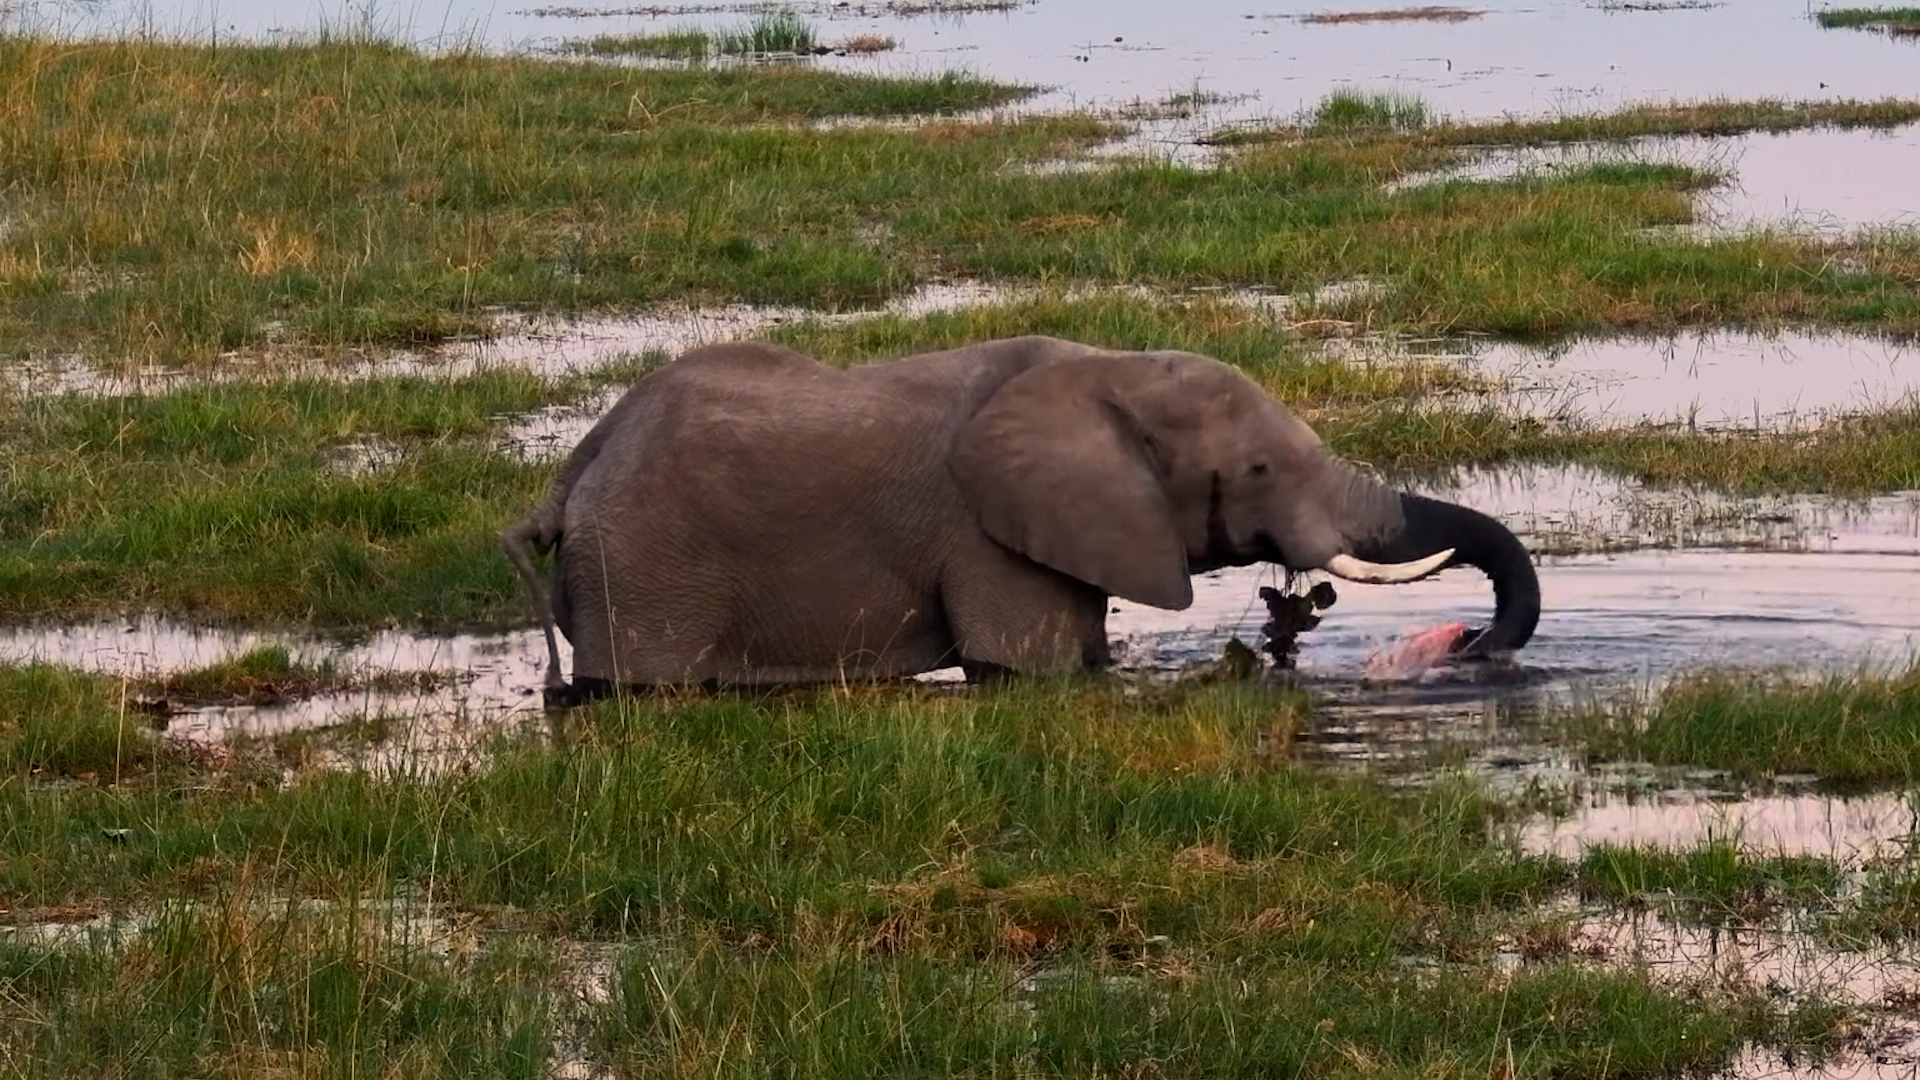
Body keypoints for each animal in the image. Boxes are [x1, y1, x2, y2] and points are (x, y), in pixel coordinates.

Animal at [501, 335, 1539, 696]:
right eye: (1256, 469)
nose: (1471, 643)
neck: (1107, 370)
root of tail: (577, 467)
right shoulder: (986, 536)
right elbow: (1024, 666)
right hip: (646, 566)